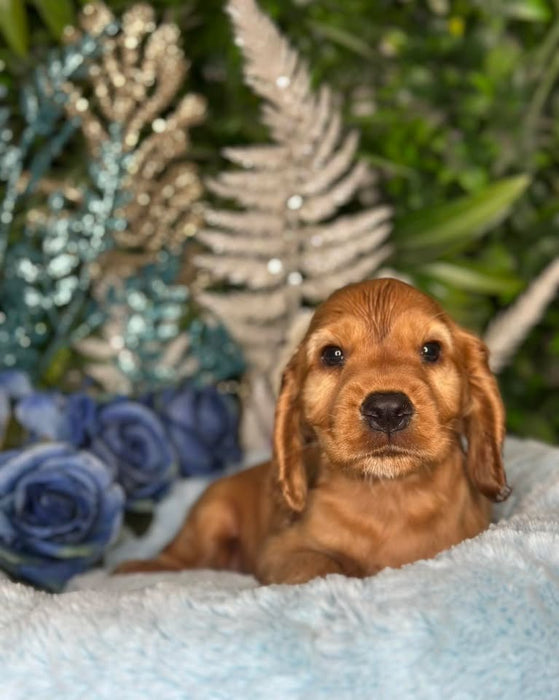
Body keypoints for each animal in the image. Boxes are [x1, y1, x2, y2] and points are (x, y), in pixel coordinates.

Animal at [118, 278, 512, 584]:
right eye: (332, 355)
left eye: (431, 350)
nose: (387, 409)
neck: (392, 495)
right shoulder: (281, 551)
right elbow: (323, 565)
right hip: (211, 516)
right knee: (178, 558)